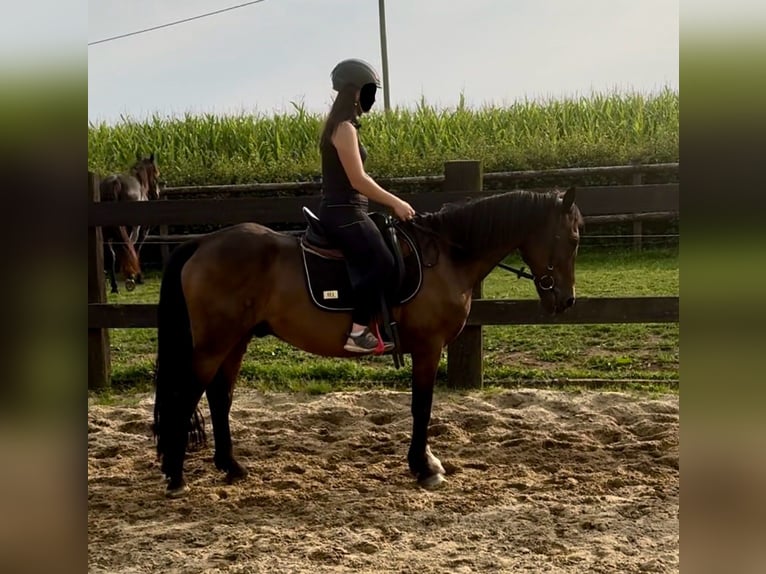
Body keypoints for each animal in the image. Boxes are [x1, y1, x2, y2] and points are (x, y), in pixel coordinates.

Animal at [100, 153, 163, 294]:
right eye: (156, 172)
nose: (157, 194)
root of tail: (115, 182)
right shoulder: (142, 232)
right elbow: (137, 250)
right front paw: (138, 278)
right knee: (129, 246)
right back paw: (129, 278)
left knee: (112, 254)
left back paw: (114, 286)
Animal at [153, 188, 584, 500]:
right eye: (574, 238)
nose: (566, 301)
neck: (446, 257)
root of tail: (203, 242)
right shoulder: (428, 348)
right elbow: (422, 407)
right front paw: (424, 467)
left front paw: (426, 462)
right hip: (215, 343)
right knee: (186, 397)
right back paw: (176, 476)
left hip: (235, 340)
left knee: (219, 397)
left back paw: (231, 466)